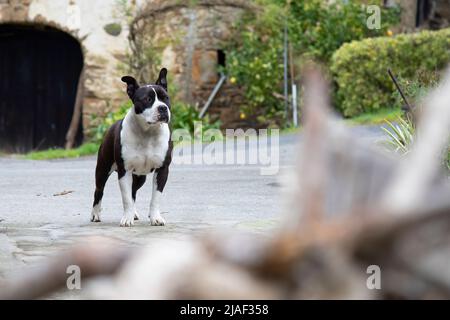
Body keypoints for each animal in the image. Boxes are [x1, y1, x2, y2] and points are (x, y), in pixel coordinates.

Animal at [91, 68, 172, 226]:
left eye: (166, 98)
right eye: (147, 99)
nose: (163, 108)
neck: (148, 132)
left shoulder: (162, 169)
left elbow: (155, 198)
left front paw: (155, 217)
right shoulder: (125, 171)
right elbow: (126, 198)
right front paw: (126, 219)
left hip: (140, 177)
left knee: (134, 191)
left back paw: (134, 213)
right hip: (103, 169)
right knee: (99, 191)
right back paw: (95, 214)